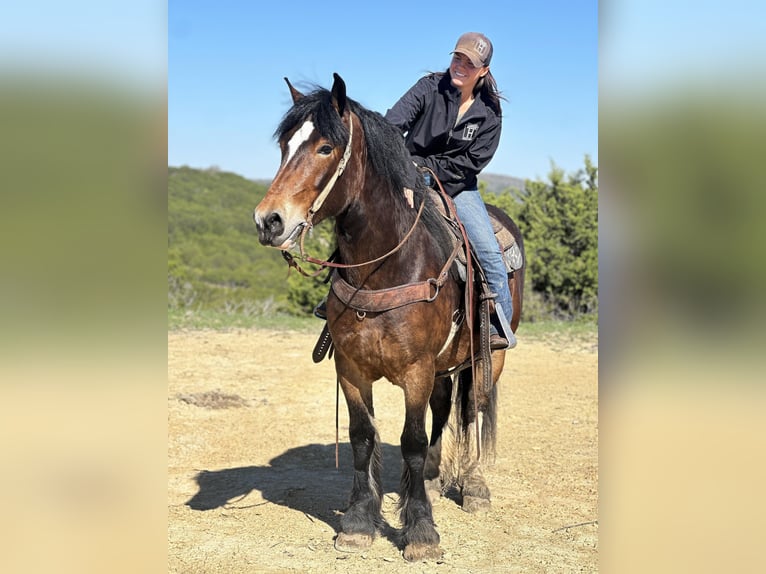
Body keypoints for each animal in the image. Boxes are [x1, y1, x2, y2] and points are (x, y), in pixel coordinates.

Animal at [255, 74, 524, 564]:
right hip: (443, 365)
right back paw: (435, 481)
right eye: (285, 144)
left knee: (473, 408)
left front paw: (420, 531)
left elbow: (410, 442)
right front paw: (360, 521)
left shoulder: (415, 370)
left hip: (489, 357)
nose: (269, 221)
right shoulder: (351, 369)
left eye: (325, 148)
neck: (385, 268)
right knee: (444, 408)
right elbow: (363, 437)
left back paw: (474, 486)